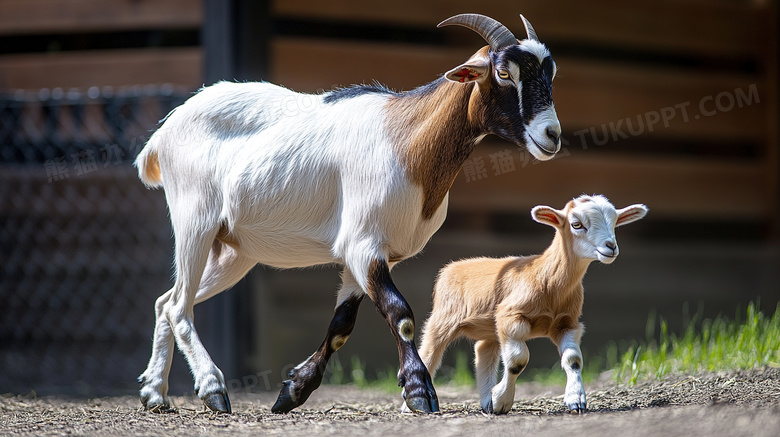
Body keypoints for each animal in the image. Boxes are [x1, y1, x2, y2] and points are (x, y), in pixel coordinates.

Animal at [133, 13, 560, 414]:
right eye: (503, 73)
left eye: (550, 72)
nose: (552, 135)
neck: (406, 142)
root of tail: (163, 133)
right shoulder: (362, 245)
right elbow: (400, 314)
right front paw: (419, 392)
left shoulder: (366, 256)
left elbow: (341, 326)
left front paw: (293, 391)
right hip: (195, 220)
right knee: (179, 306)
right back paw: (213, 390)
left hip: (234, 251)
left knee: (165, 302)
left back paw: (154, 394)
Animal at [418, 194, 648, 412]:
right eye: (576, 224)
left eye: (615, 222)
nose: (611, 247)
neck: (547, 279)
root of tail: (451, 267)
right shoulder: (510, 316)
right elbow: (517, 361)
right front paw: (502, 400)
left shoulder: (567, 323)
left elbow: (573, 360)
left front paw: (576, 400)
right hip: (443, 317)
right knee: (429, 351)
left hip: (489, 326)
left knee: (483, 350)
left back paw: (486, 401)